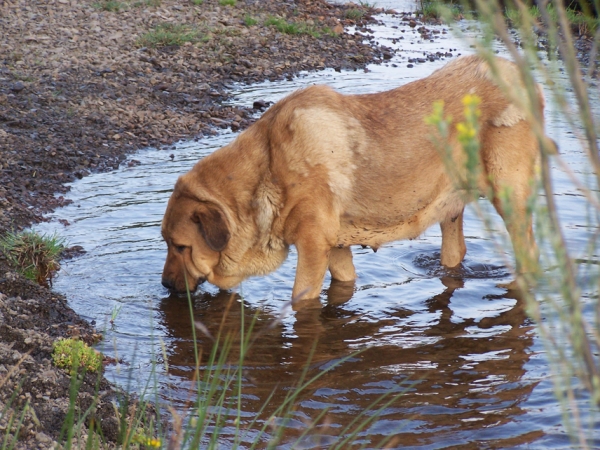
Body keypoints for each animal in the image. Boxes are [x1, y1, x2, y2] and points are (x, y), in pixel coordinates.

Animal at [161, 57, 552, 302]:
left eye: (180, 247)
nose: (164, 285)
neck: (267, 170)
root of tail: (526, 77)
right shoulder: (336, 248)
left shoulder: (313, 248)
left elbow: (301, 301)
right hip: (451, 211)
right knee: (456, 252)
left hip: (509, 197)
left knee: (530, 252)